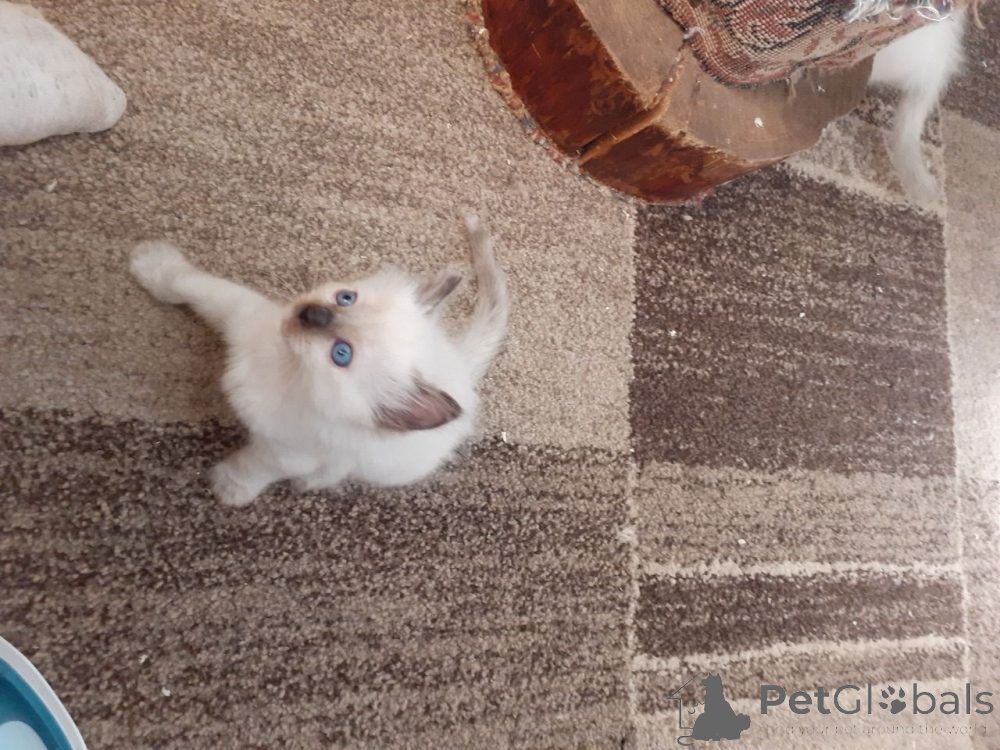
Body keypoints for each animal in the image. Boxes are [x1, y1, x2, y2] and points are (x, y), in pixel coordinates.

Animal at [129, 214, 508, 506]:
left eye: (341, 354)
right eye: (346, 298)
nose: (312, 314)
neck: (284, 366)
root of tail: (458, 364)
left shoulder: (286, 452)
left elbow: (253, 467)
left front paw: (229, 489)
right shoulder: (238, 312)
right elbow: (185, 284)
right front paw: (149, 265)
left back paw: (309, 484)